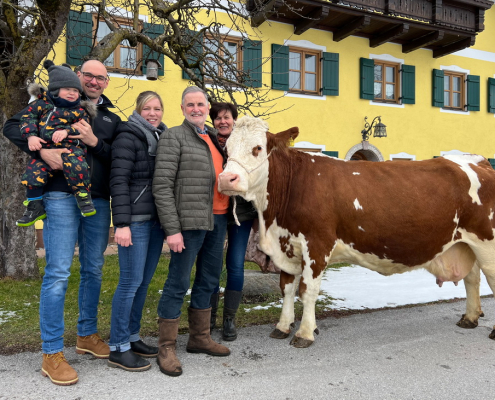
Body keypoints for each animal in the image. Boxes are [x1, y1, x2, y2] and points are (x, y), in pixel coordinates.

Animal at [218, 115, 495, 346]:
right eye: (227, 148)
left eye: (257, 148)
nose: (226, 179)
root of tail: (478, 161)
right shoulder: (287, 244)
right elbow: (286, 287)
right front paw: (283, 327)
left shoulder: (317, 244)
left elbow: (308, 291)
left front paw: (305, 333)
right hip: (464, 243)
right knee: (472, 278)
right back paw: (470, 318)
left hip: (487, 242)